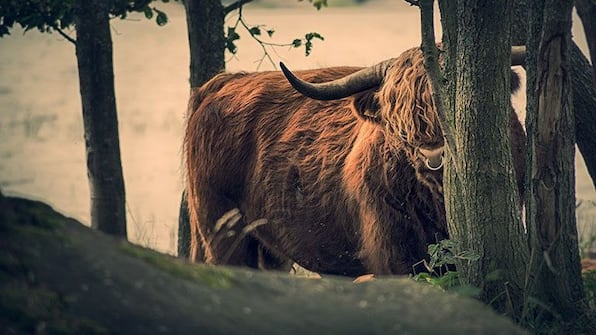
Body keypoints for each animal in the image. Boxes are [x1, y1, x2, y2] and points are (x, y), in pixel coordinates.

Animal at [183, 46, 528, 276]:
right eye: (396, 118)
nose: (433, 156)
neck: (436, 202)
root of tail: (225, 81)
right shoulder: (393, 252)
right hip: (221, 226)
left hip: (268, 245)